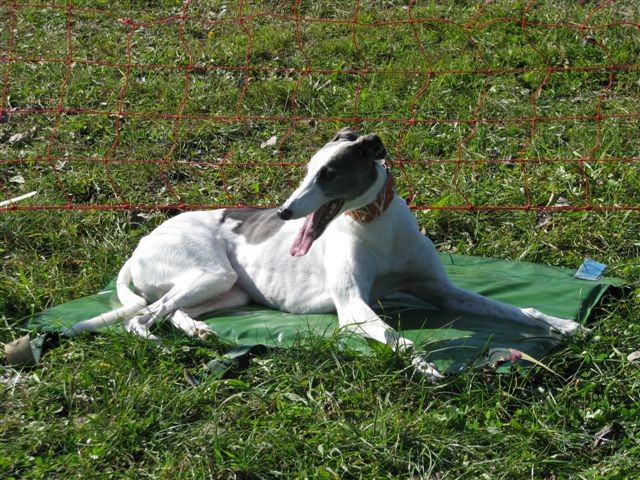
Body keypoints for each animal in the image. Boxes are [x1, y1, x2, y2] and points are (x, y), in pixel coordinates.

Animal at [65, 128, 580, 382]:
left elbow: (516, 309)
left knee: (169, 311)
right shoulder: (353, 307)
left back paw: (198, 330)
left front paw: (562, 323)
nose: (283, 211)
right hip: (206, 272)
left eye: (328, 174)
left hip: (228, 290)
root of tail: (138, 246)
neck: (376, 225)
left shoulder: (444, 293)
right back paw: (160, 342)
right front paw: (423, 366)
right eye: (307, 171)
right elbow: (399, 339)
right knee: (142, 317)